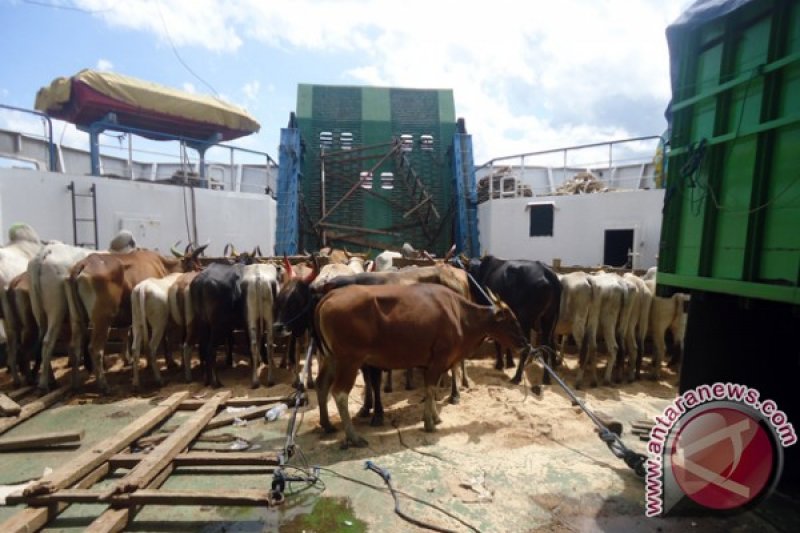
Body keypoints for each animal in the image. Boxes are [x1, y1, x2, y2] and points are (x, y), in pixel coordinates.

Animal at [69, 248, 203, 390]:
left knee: (74, 347)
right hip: (102, 320)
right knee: (95, 349)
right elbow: (163, 339)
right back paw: (104, 385)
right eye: (196, 265)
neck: (163, 265)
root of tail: (84, 264)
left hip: (77, 318)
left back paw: (75, 384)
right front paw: (170, 362)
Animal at [314, 284, 532, 446]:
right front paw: (429, 423)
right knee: (339, 392)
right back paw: (353, 437)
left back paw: (327, 425)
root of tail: (330, 295)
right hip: (349, 361)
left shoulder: (435, 362)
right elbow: (430, 388)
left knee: (321, 385)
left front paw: (435, 417)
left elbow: (432, 390)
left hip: (330, 358)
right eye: (512, 321)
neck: (459, 315)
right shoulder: (438, 359)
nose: (525, 344)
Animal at [460, 256, 560, 388]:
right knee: (547, 347)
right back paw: (546, 378)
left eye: (469, 270)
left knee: (526, 348)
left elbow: (498, 341)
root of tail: (547, 272)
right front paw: (510, 362)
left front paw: (500, 364)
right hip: (549, 319)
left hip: (526, 320)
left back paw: (517, 377)